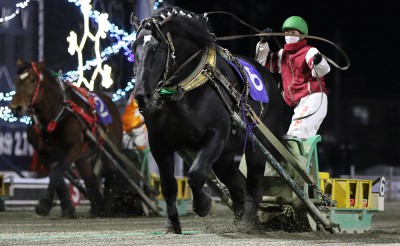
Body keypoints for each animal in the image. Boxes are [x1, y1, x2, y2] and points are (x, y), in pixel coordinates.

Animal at [10, 59, 123, 217]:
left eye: (33, 80)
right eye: (16, 81)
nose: (16, 107)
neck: (55, 115)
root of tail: (110, 101)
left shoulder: (74, 148)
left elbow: (57, 172)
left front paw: (44, 204)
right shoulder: (44, 154)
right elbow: (57, 177)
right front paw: (67, 207)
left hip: (109, 149)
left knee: (112, 174)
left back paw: (105, 208)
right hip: (83, 158)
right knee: (90, 178)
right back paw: (96, 207)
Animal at [131, 5, 284, 233]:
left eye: (158, 49)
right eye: (134, 49)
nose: (142, 95)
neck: (186, 90)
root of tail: (269, 77)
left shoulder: (215, 136)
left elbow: (195, 174)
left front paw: (203, 205)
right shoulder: (158, 142)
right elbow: (168, 185)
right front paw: (172, 224)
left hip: (257, 147)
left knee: (254, 187)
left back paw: (247, 223)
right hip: (225, 157)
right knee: (238, 185)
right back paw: (241, 218)